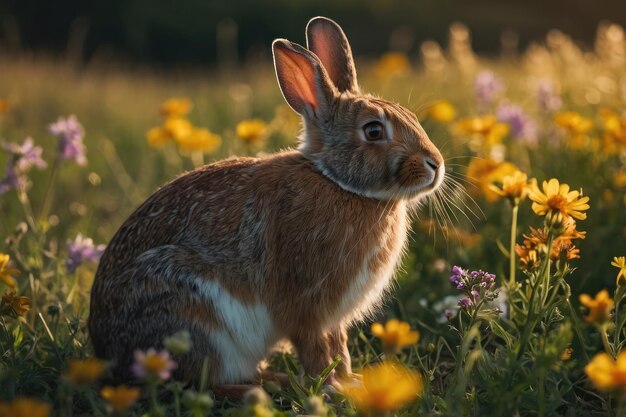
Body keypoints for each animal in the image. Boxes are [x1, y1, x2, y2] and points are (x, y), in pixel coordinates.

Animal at [88, 15, 444, 386]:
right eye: (374, 131)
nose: (436, 164)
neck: (338, 183)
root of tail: (109, 352)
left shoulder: (333, 318)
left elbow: (340, 346)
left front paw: (350, 382)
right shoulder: (305, 304)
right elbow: (315, 348)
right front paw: (330, 387)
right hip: (190, 312)